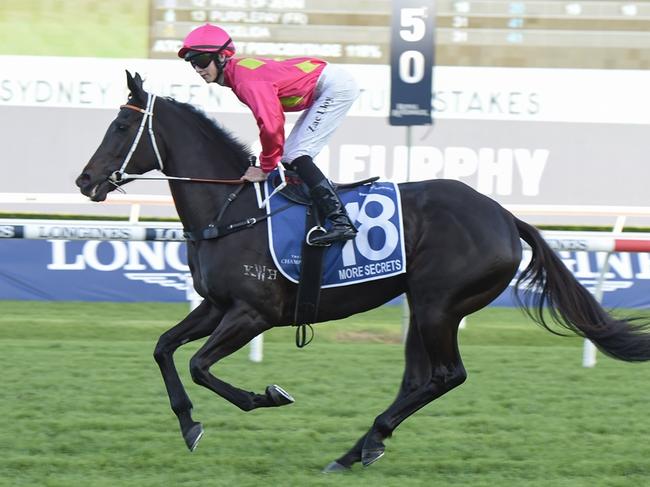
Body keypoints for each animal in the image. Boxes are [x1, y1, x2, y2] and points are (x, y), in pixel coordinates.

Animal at [76, 72, 648, 472]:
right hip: (423, 303)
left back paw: (364, 443)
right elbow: (164, 349)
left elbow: (199, 365)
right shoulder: (217, 306)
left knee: (448, 375)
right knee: (419, 377)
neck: (231, 208)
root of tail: (506, 216)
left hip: (440, 304)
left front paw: (265, 396)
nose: (84, 181)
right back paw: (362, 447)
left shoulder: (254, 313)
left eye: (121, 126)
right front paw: (189, 423)